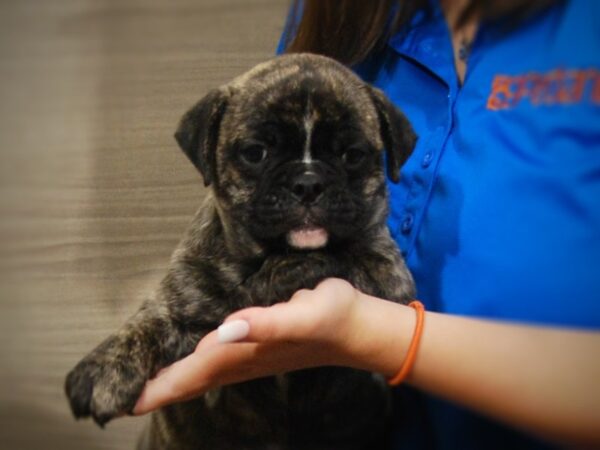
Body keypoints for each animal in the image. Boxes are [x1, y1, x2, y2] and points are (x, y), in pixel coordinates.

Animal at [63, 53, 414, 450]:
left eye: (352, 155)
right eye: (255, 153)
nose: (308, 183)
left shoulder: (389, 276)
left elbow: (338, 261)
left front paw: (282, 272)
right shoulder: (182, 306)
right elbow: (147, 324)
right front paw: (103, 368)